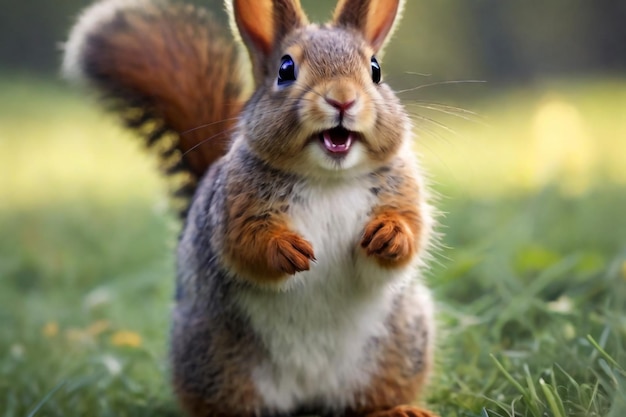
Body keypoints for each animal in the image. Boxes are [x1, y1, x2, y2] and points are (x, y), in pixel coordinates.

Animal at [61, 0, 436, 416]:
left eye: (375, 70)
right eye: (285, 69)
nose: (342, 98)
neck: (328, 180)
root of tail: (307, 393)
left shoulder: (403, 189)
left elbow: (410, 234)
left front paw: (391, 234)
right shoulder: (231, 207)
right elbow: (243, 245)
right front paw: (283, 248)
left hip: (397, 348)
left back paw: (399, 409)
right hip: (215, 356)